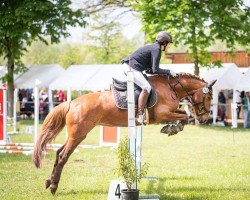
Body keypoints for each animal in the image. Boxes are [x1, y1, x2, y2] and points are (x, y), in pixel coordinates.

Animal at [32, 73, 216, 194]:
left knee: (58, 152)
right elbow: (184, 116)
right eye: (209, 98)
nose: (205, 118)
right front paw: (172, 129)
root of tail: (72, 103)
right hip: (79, 134)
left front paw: (172, 128)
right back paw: (54, 186)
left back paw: (49, 181)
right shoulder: (162, 114)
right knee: (63, 155)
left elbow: (184, 115)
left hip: (75, 135)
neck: (171, 87)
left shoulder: (169, 113)